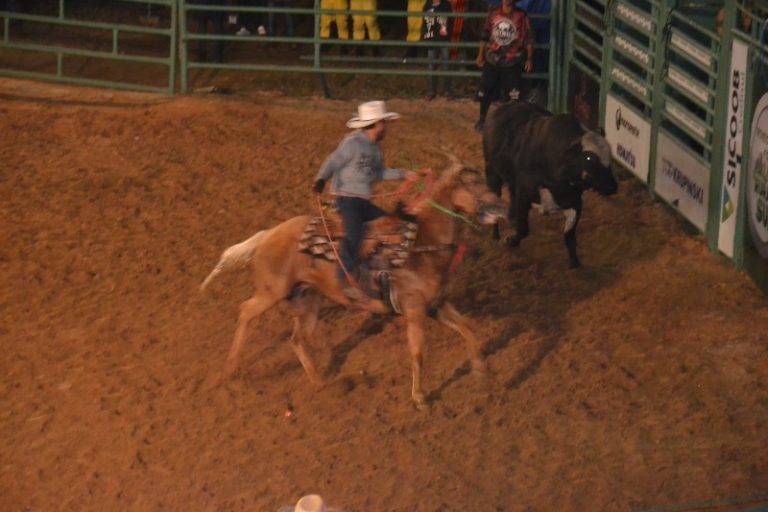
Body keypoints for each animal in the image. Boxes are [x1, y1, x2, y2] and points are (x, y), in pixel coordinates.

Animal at [200, 161, 506, 410]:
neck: (422, 244)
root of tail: (267, 235)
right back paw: (229, 371)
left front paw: (481, 371)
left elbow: (467, 328)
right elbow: (417, 351)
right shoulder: (415, 309)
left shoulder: (436, 305)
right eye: (474, 183)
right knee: (246, 312)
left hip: (307, 299)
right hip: (271, 292)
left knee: (297, 339)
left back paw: (322, 383)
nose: (502, 208)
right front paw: (419, 398)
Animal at [483, 101, 618, 268]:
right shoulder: (524, 194)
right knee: (494, 198)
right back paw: (495, 234)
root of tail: (502, 106)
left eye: (609, 155)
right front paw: (511, 240)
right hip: (492, 171)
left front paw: (574, 261)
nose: (612, 186)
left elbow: (569, 235)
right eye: (588, 158)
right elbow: (524, 229)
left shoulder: (575, 201)